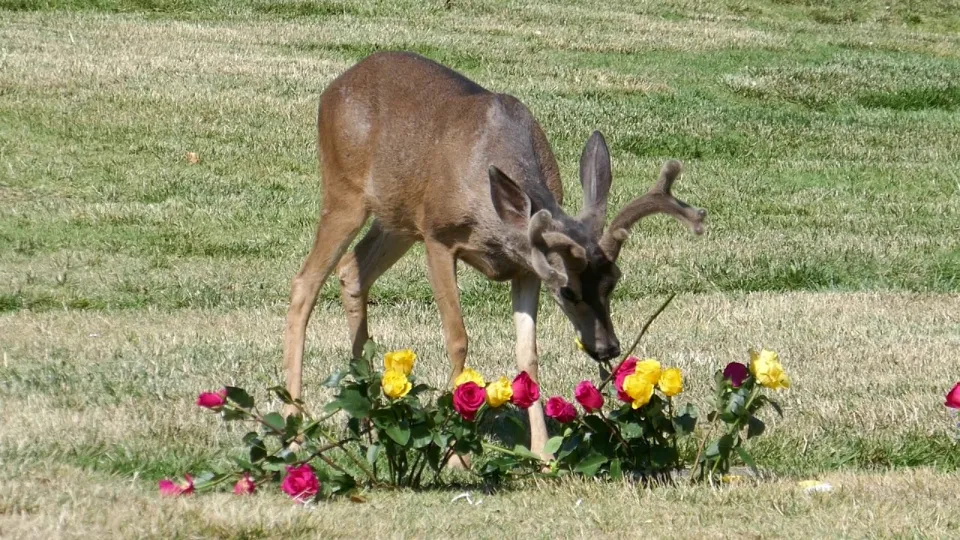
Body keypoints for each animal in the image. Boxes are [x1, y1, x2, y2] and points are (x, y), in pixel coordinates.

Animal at [282, 50, 708, 458]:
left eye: (614, 281)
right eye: (567, 291)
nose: (608, 347)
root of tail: (332, 89)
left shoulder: (526, 267)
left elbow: (527, 354)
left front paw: (542, 453)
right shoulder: (437, 235)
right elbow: (457, 338)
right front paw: (457, 455)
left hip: (396, 219)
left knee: (352, 271)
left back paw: (369, 422)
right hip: (345, 192)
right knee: (305, 281)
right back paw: (295, 433)